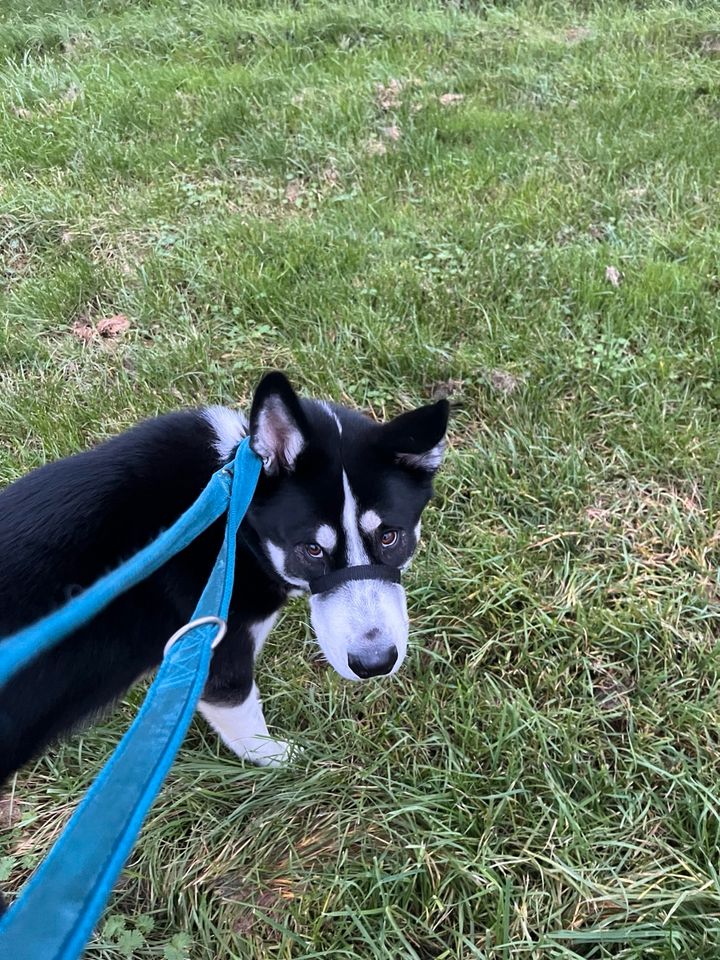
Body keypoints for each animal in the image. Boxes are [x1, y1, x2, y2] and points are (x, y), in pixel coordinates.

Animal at [0, 372, 450, 792]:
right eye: (311, 549)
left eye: (390, 536)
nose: (375, 664)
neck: (235, 518)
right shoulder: (217, 657)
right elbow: (248, 726)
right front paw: (285, 760)